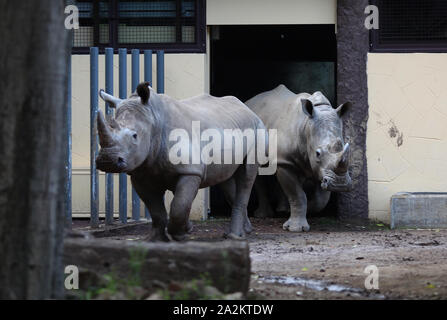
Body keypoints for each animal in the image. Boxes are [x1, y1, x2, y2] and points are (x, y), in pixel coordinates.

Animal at [96, 82, 268, 240]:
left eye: (134, 136)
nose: (107, 161)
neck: (154, 120)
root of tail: (248, 109)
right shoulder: (140, 174)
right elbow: (156, 210)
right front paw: (156, 239)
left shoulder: (191, 171)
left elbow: (179, 206)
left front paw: (179, 235)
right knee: (225, 178)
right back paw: (243, 232)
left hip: (257, 129)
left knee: (246, 175)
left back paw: (234, 236)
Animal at [245, 84, 354, 231]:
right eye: (317, 153)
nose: (340, 184)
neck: (306, 126)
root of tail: (248, 102)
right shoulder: (286, 163)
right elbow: (298, 195)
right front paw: (295, 228)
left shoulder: (320, 169)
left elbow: (321, 200)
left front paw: (310, 209)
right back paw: (263, 215)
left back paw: (283, 210)